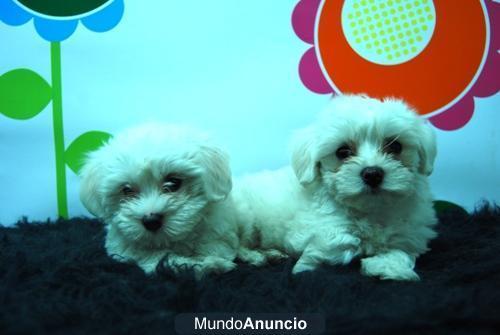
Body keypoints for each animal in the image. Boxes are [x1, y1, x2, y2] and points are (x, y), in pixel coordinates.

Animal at [79, 123, 239, 278]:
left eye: (174, 183)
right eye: (127, 190)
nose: (151, 220)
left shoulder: (218, 231)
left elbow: (215, 247)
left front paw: (211, 262)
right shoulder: (123, 248)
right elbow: (159, 258)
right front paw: (200, 265)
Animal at [234, 96, 438, 282]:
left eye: (395, 146)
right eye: (342, 152)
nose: (372, 173)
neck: (371, 211)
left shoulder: (409, 234)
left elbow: (401, 251)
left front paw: (389, 267)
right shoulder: (318, 228)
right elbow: (334, 244)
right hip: (244, 218)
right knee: (238, 245)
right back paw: (256, 256)